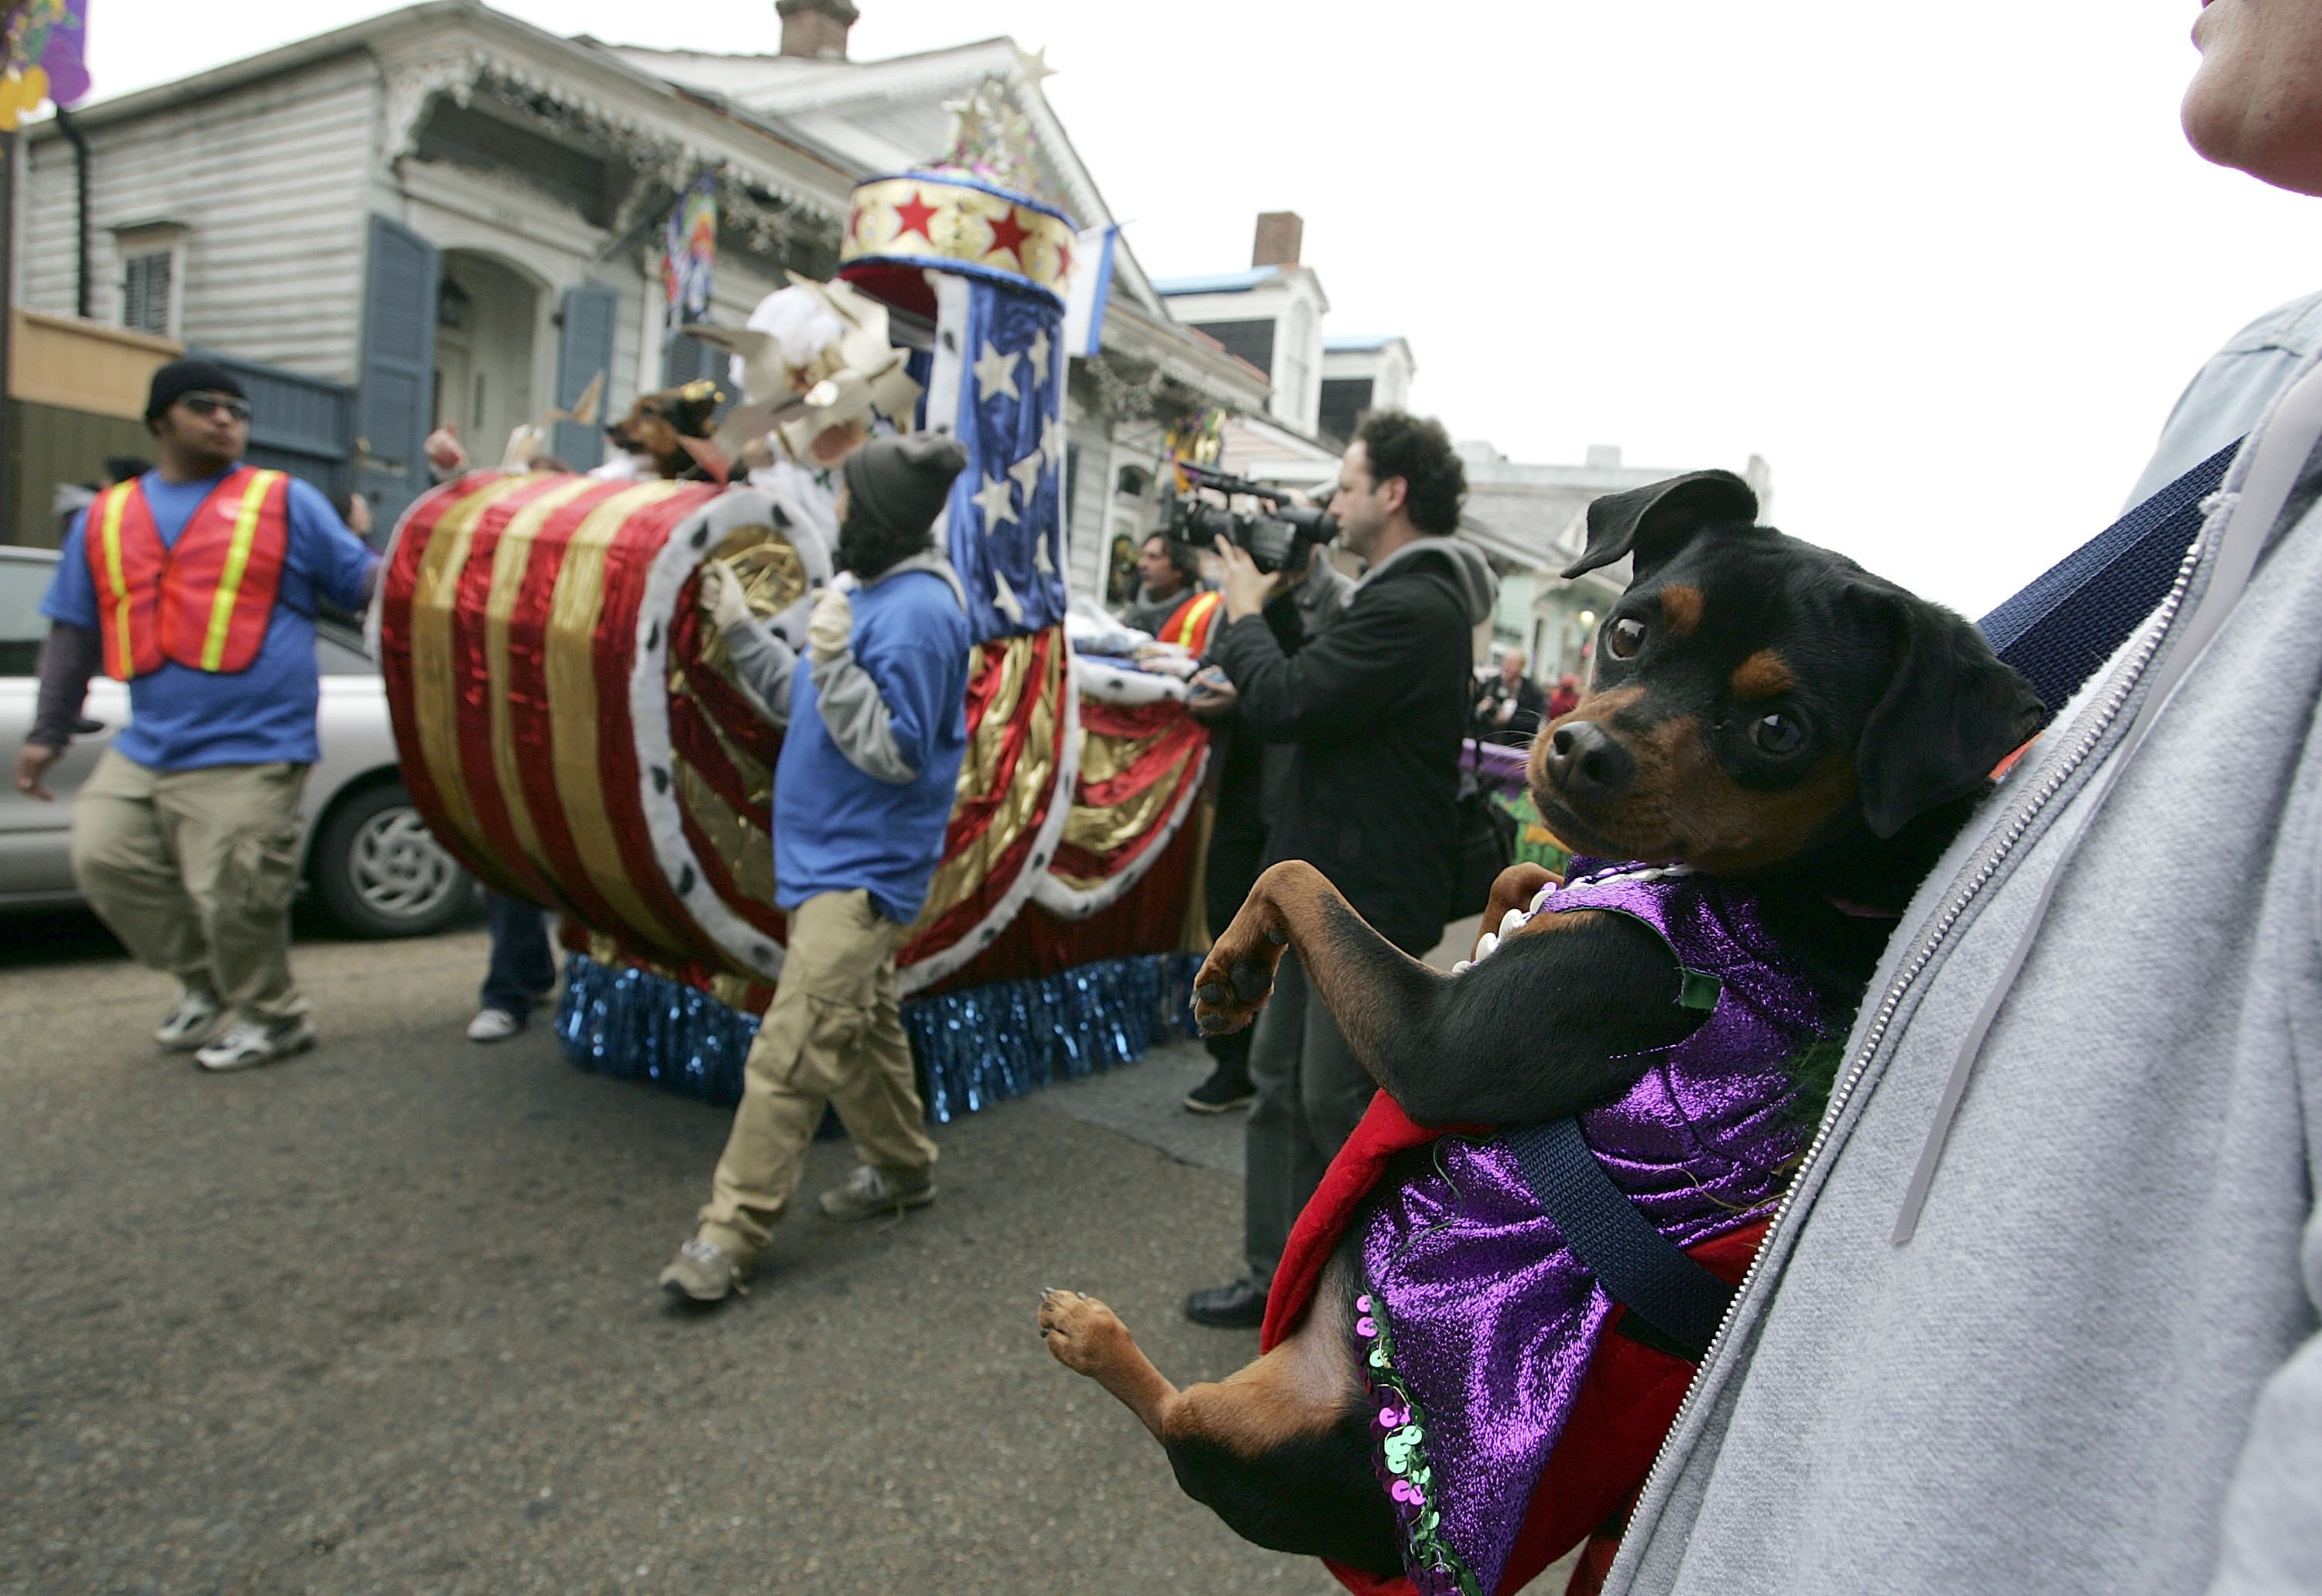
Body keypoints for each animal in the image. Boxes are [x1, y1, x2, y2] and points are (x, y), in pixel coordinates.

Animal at [1045, 471, 2043, 1570]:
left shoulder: (1440, 1036)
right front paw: (1503, 903)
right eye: (1629, 632)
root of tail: (1378, 1552)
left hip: (1243, 1431)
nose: (1579, 748)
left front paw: (1230, 965)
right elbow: (1520, 879)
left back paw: (1090, 1333)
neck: (1806, 880)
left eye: (1780, 730)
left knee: (1173, 1415)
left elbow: (1297, 871)